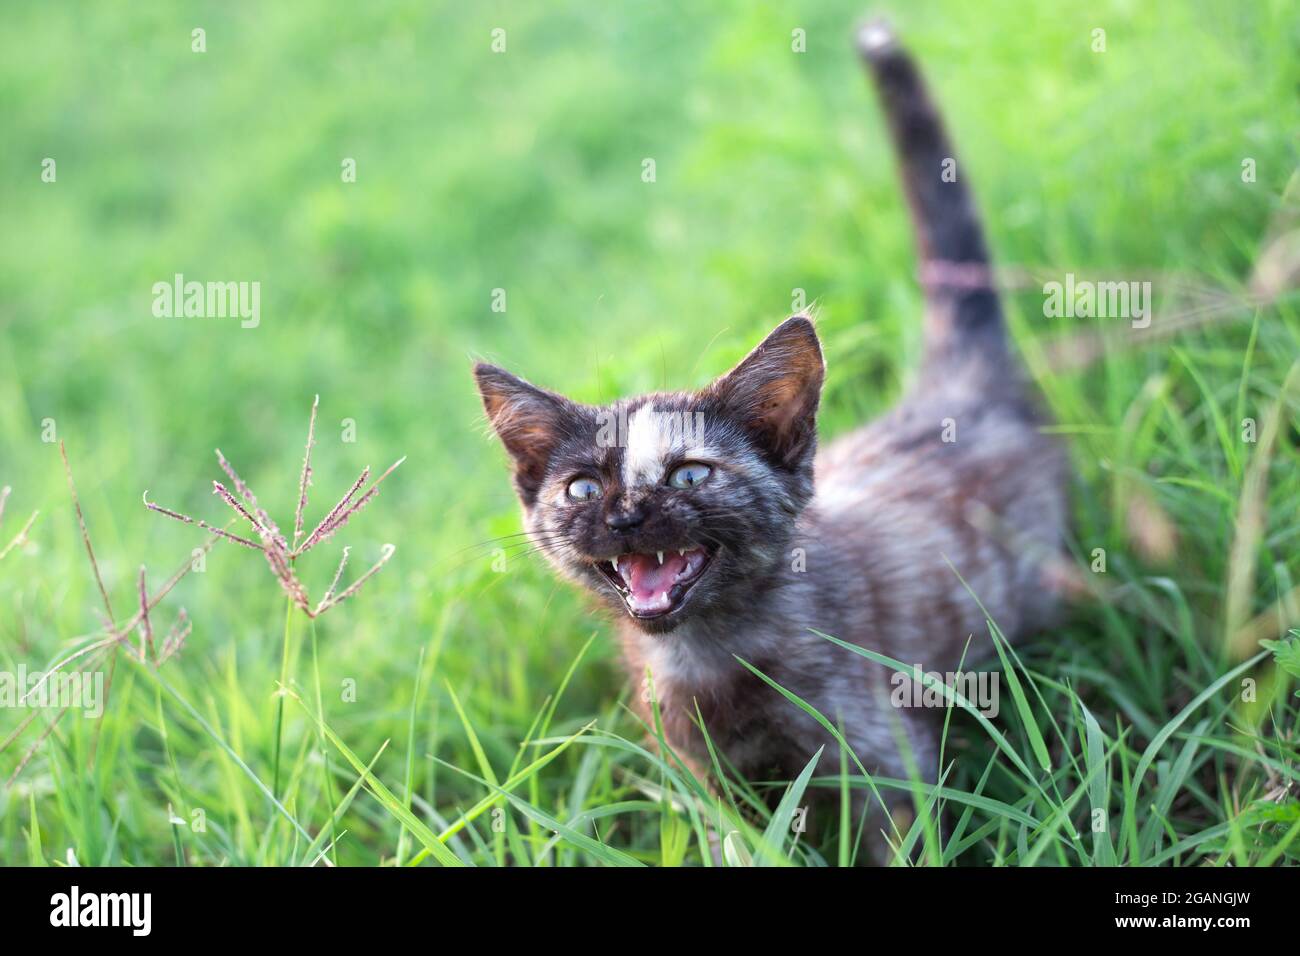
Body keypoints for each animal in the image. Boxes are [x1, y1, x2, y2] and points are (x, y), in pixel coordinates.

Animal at [475, 20, 1066, 853]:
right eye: (583, 487)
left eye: (690, 474)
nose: (625, 515)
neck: (704, 654)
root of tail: (951, 390)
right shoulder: (702, 780)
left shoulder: (884, 755)